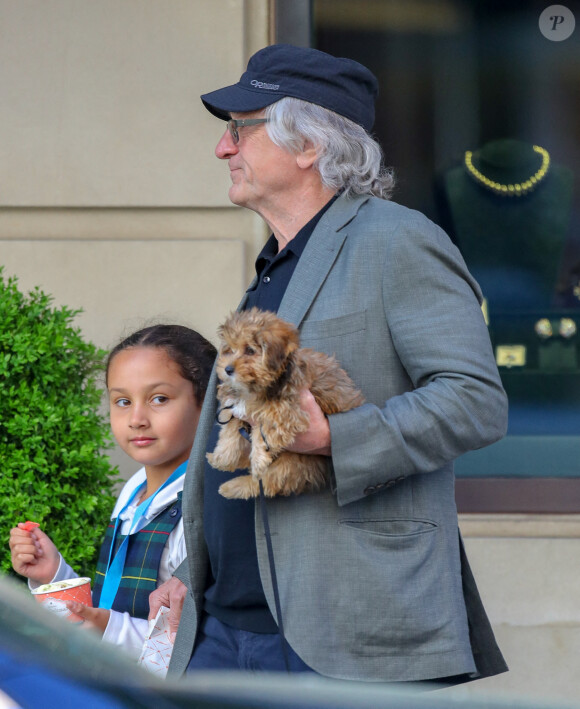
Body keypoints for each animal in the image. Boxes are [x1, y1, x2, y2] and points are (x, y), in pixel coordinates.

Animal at [206, 306, 364, 500]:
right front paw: (221, 457)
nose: (227, 369)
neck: (256, 388)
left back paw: (236, 485)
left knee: (267, 482)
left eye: (250, 350)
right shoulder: (236, 408)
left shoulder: (286, 412)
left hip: (294, 462)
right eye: (229, 350)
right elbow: (230, 430)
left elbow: (263, 430)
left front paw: (258, 459)